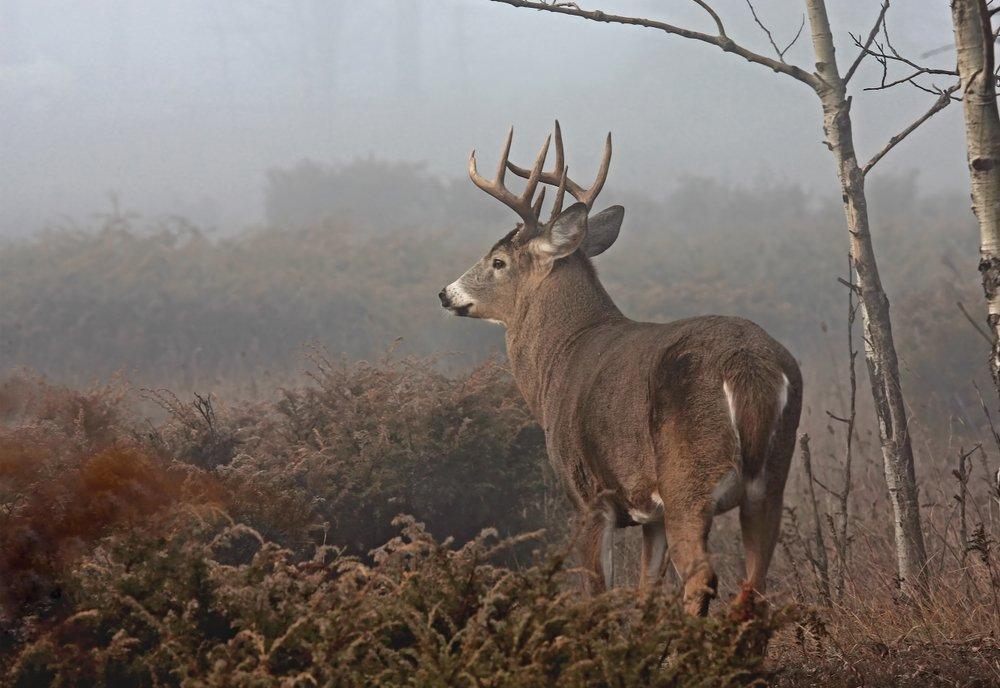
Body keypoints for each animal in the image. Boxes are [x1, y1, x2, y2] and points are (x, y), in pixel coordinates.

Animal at [440, 121, 804, 616]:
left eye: (498, 261)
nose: (446, 293)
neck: (561, 358)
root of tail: (748, 368)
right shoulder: (651, 514)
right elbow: (646, 591)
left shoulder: (590, 496)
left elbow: (597, 594)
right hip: (771, 482)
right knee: (755, 584)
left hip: (689, 479)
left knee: (702, 576)